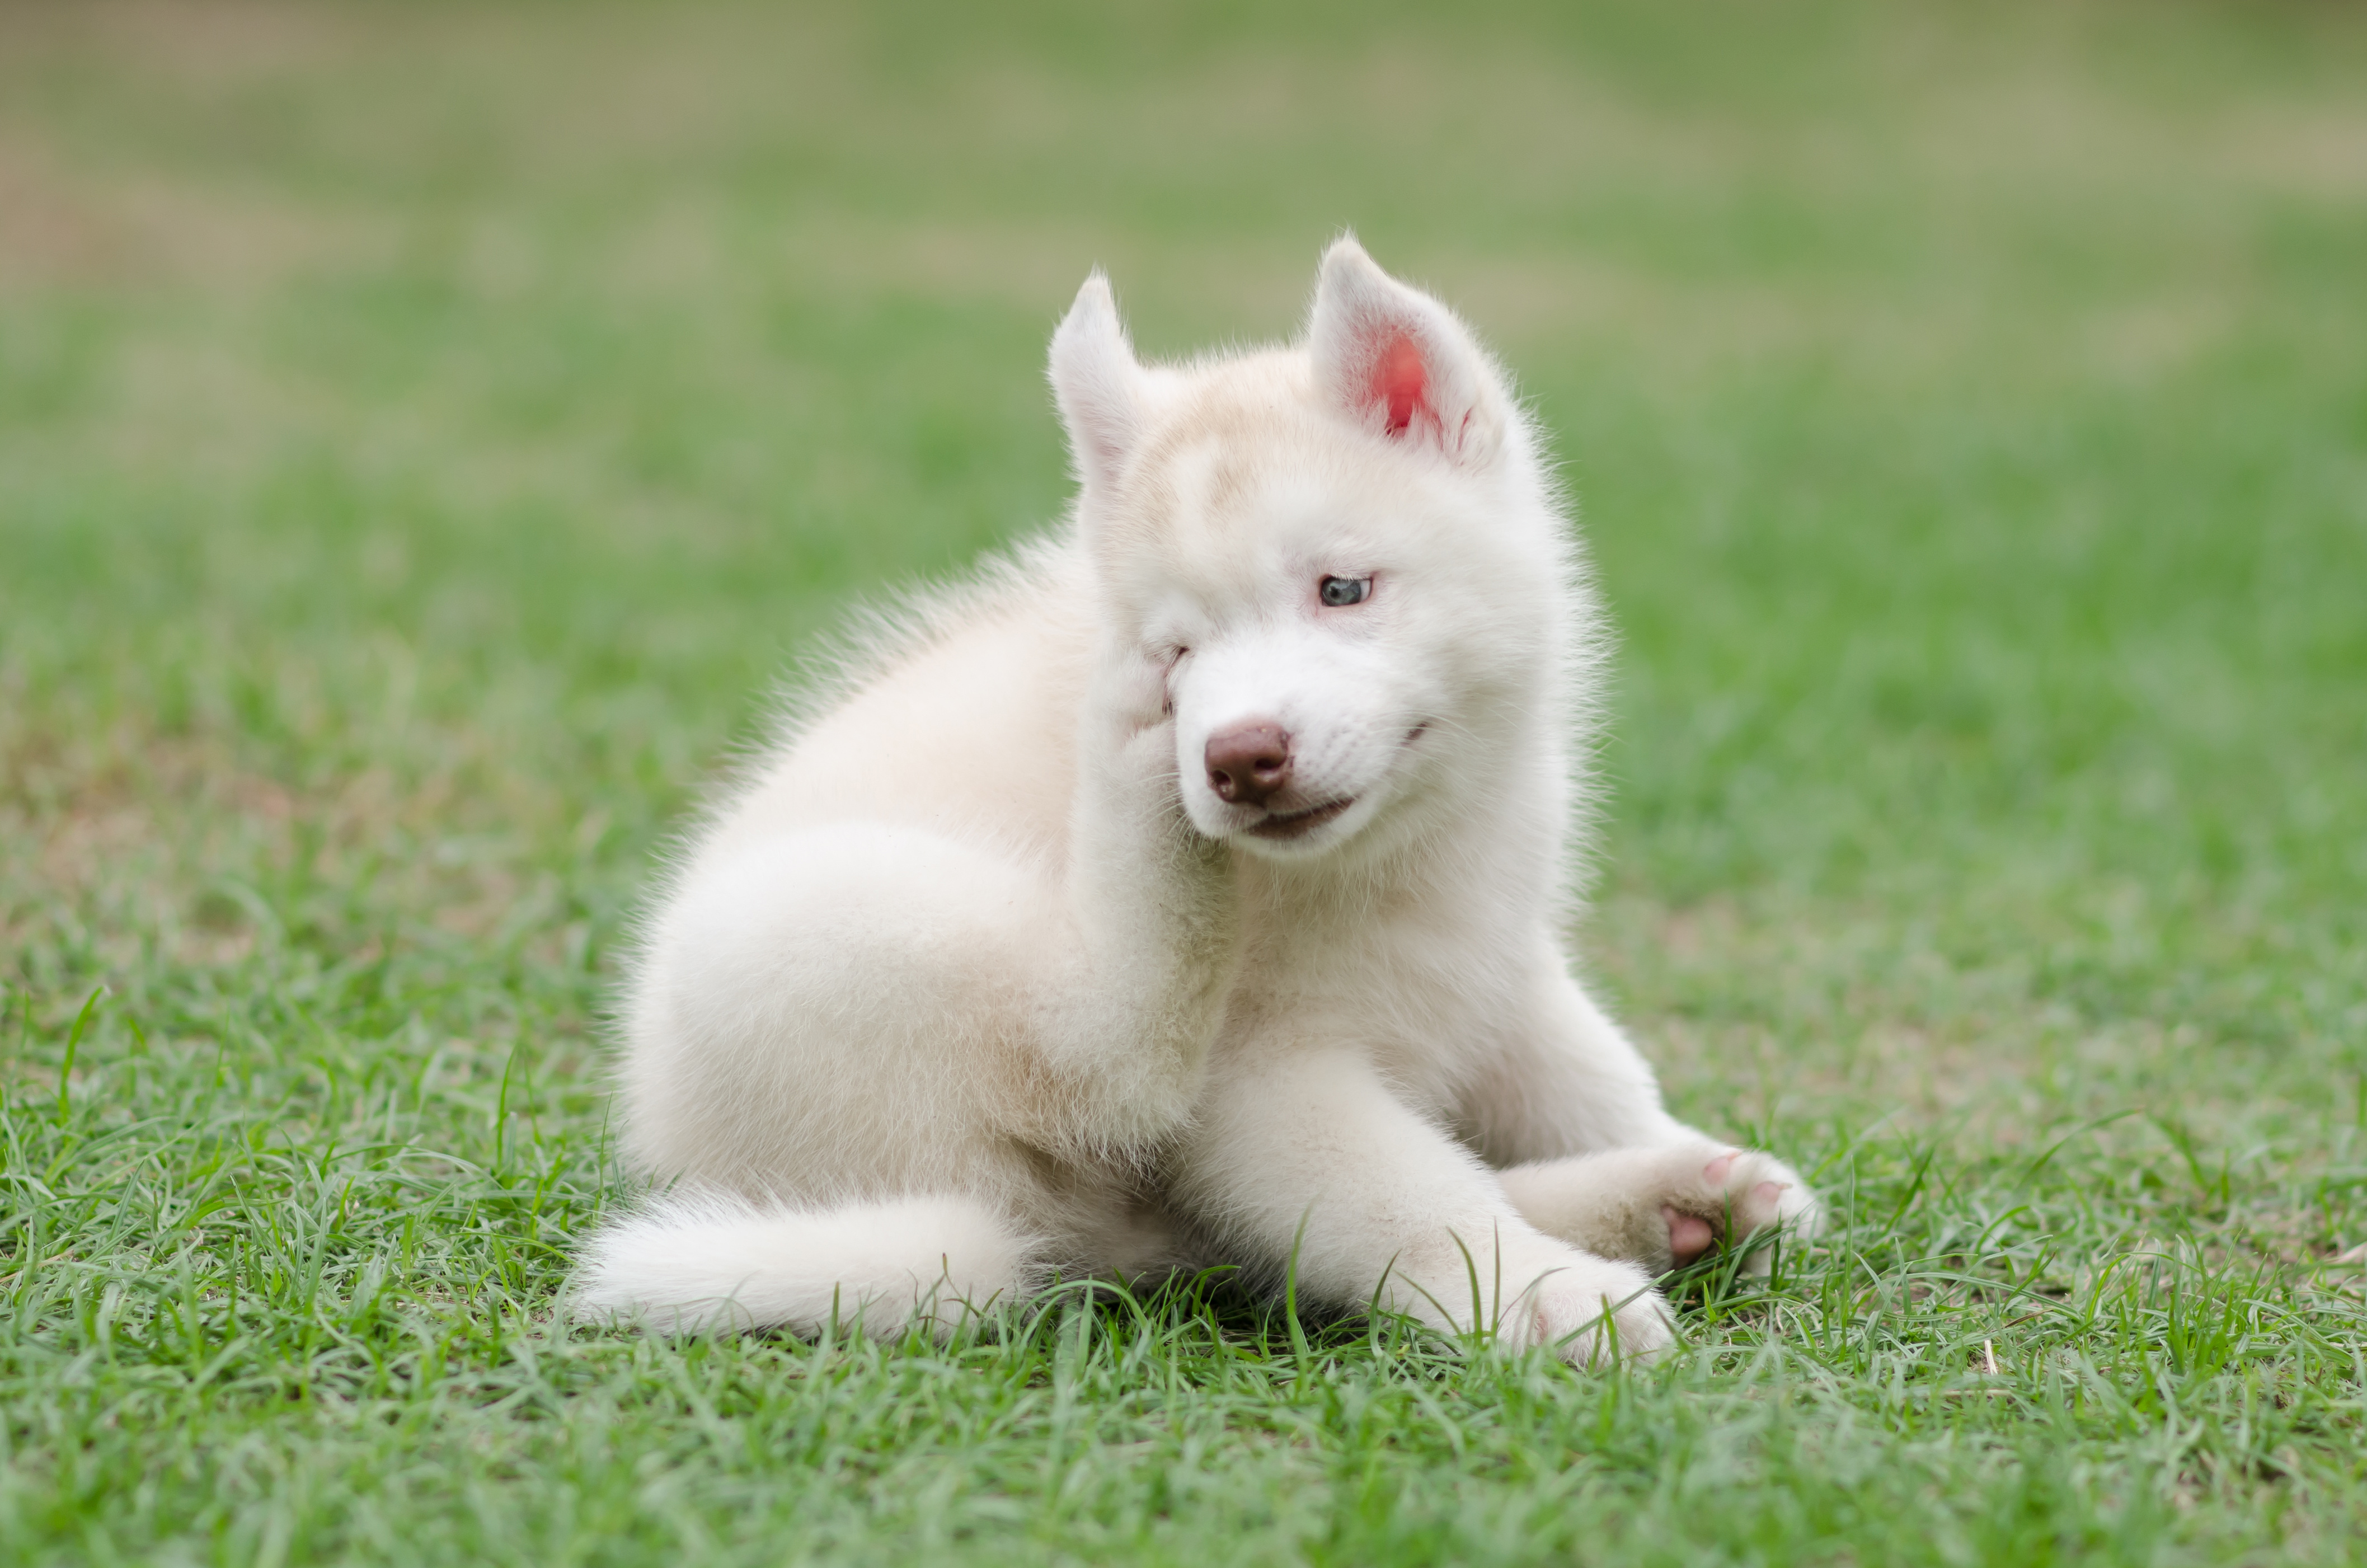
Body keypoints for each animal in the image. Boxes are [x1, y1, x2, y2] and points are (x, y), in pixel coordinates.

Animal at [582, 239, 1817, 1373]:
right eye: (1176, 653)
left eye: (1341, 590)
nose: (1237, 759)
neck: (1391, 854)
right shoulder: (1262, 1084)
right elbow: (1408, 1196)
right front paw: (1543, 1294)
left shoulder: (1492, 954)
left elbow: (1591, 1075)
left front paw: (1677, 1162)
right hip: (825, 921)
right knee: (1105, 1065)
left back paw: (1668, 1200)